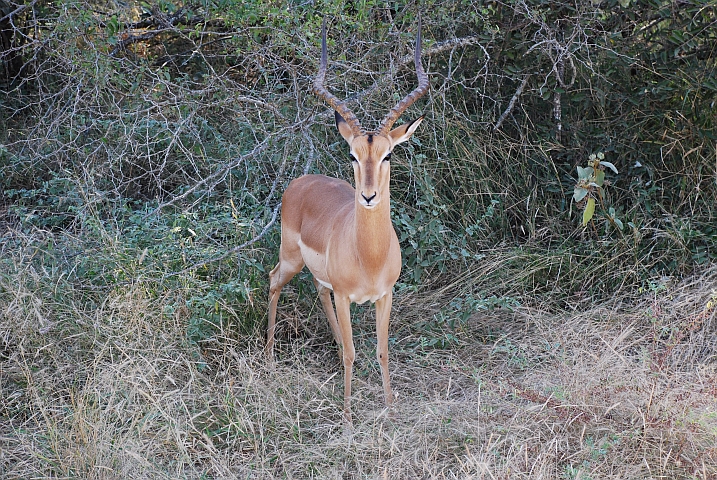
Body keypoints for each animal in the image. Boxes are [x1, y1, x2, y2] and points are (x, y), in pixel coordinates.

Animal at [267, 17, 429, 422]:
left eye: (388, 154)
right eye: (353, 155)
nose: (368, 196)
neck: (368, 256)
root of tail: (302, 180)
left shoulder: (385, 295)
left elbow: (382, 350)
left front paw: (390, 408)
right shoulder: (345, 296)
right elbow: (355, 353)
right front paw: (348, 419)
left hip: (318, 276)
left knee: (317, 289)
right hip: (290, 259)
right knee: (273, 281)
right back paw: (270, 360)